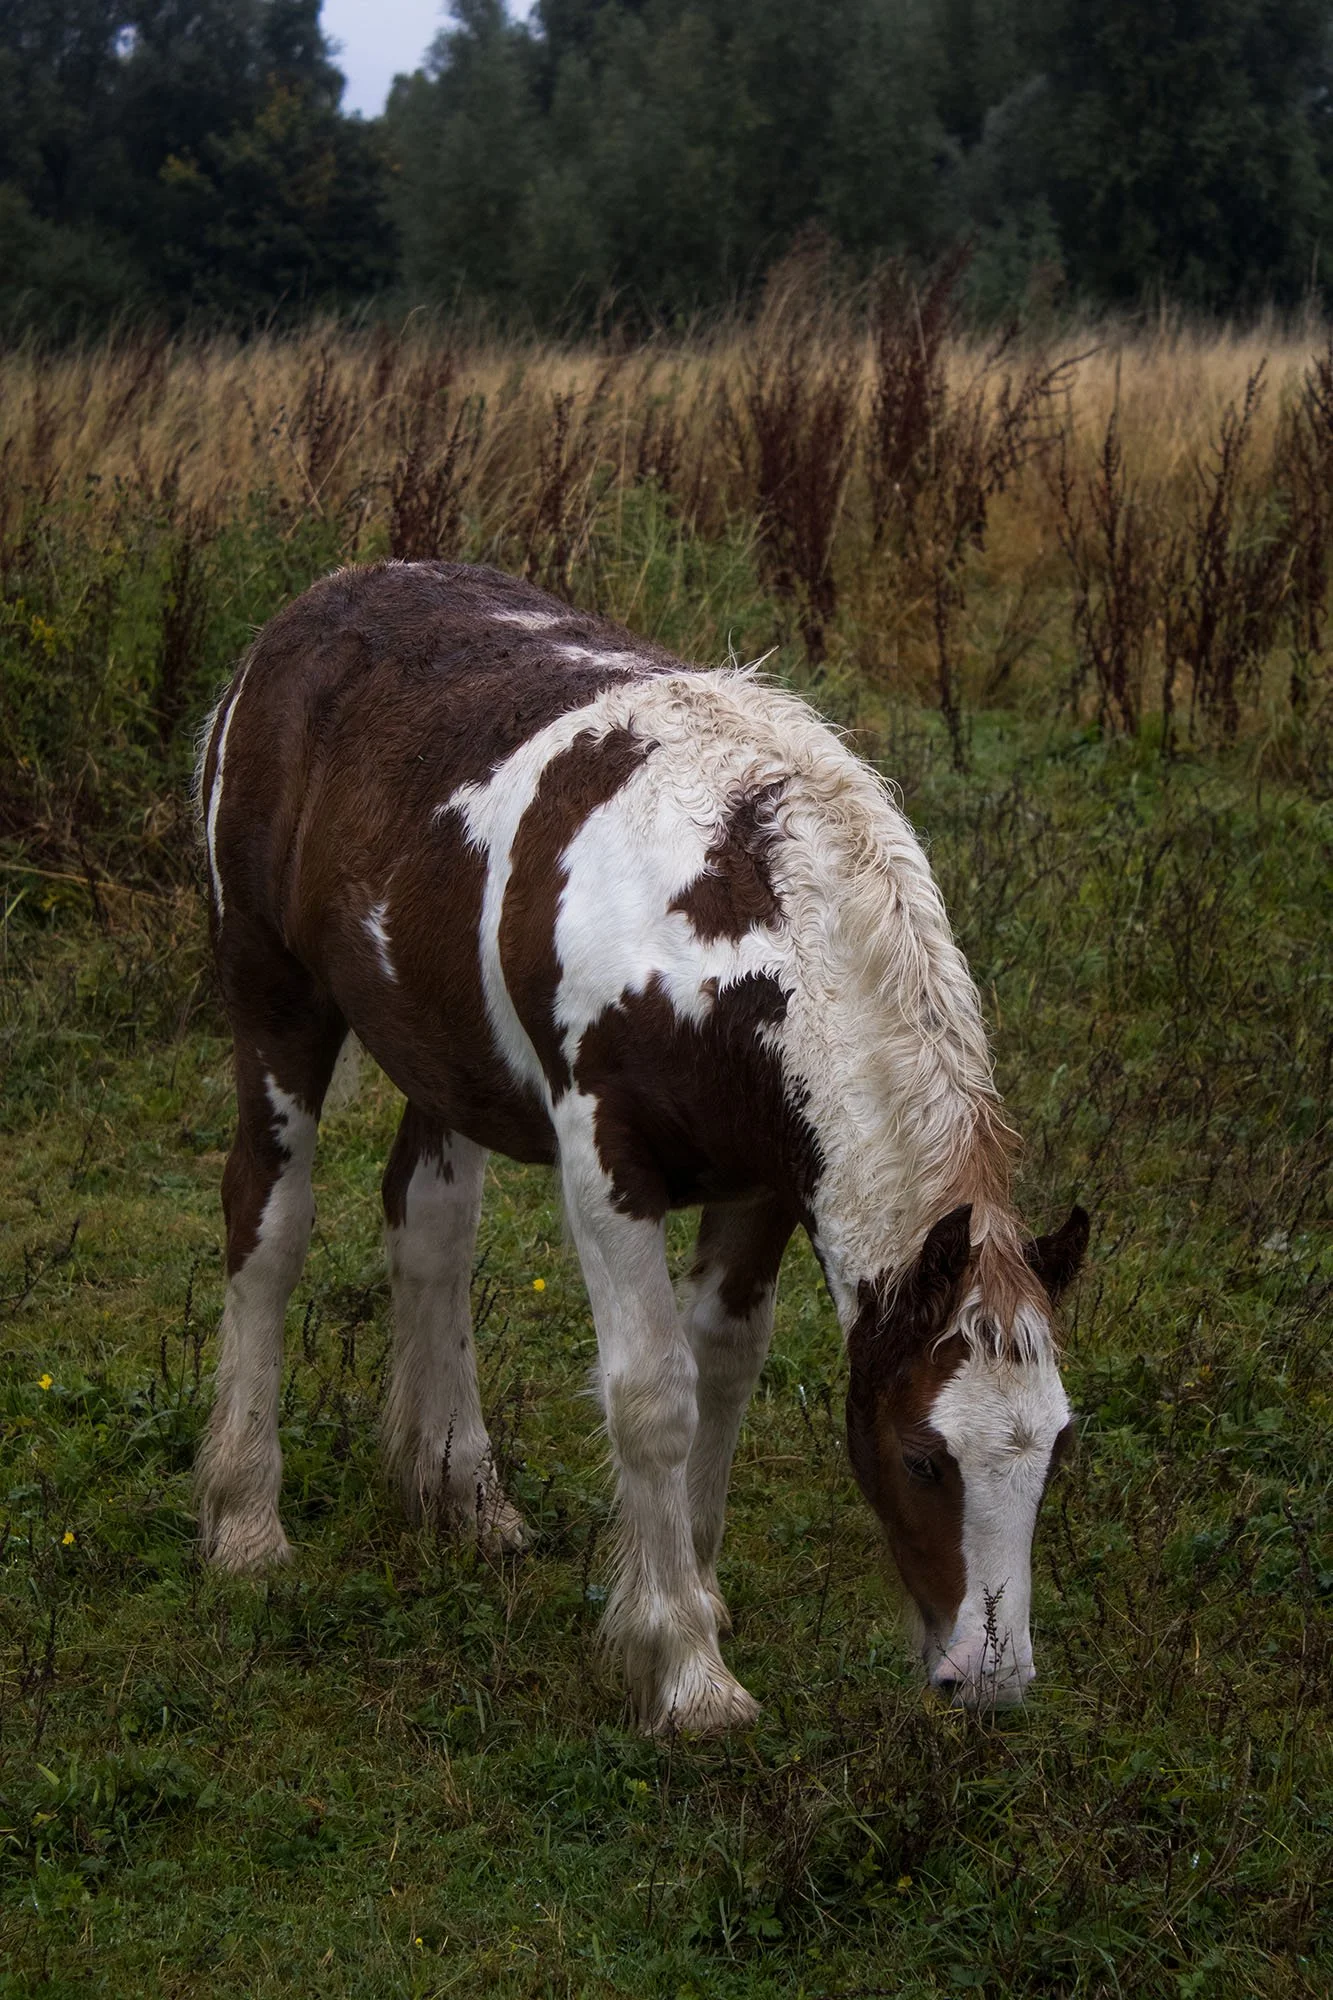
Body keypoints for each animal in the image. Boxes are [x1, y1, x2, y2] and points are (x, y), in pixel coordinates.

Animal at [193, 559, 1087, 1734]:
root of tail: (302, 614)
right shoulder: (605, 1162)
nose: (988, 1681)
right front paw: (684, 1668)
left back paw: (459, 1492)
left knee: (427, 1226)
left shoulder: (763, 1179)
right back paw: (246, 1518)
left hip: (441, 1049)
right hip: (277, 998)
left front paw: (695, 1591)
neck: (738, 933)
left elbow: (724, 1364)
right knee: (268, 1224)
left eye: (1056, 1449)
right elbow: (655, 1390)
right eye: (920, 1457)